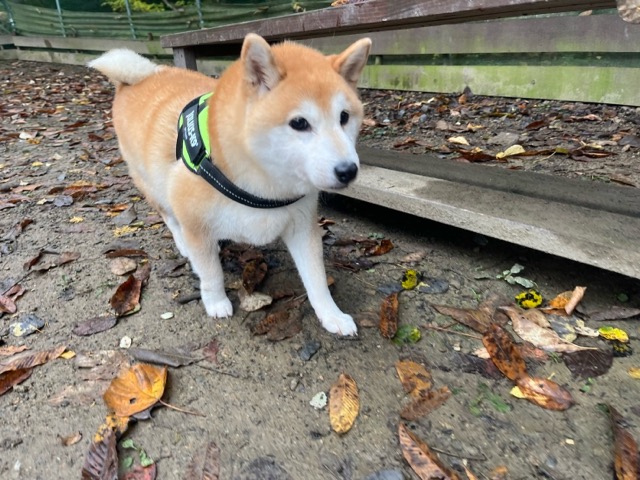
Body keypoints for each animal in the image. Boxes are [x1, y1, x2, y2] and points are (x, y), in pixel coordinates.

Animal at [89, 34, 371, 336]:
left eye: (344, 117)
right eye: (299, 123)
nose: (348, 170)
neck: (262, 183)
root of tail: (139, 77)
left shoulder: (302, 226)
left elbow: (317, 279)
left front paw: (332, 315)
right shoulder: (194, 220)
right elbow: (211, 273)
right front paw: (215, 302)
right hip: (154, 187)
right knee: (171, 219)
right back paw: (184, 245)